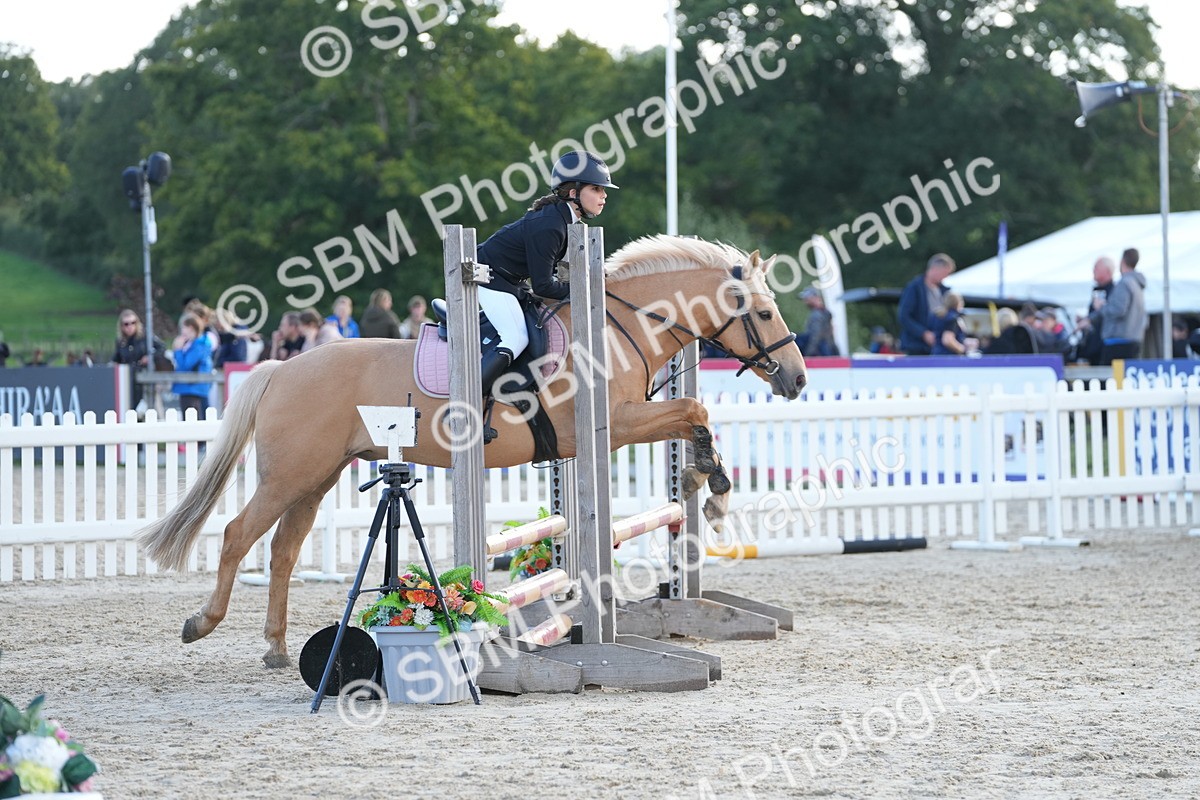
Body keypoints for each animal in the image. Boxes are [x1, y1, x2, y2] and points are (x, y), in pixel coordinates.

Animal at [137, 234, 808, 667]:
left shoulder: (619, 426)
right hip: (291, 474)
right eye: (764, 311)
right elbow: (693, 412)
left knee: (282, 550)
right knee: (237, 535)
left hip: (316, 476)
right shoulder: (613, 425)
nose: (797, 380)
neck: (618, 325)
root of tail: (282, 366)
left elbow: (692, 418)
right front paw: (712, 487)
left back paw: (277, 648)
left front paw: (702, 481)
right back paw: (202, 624)